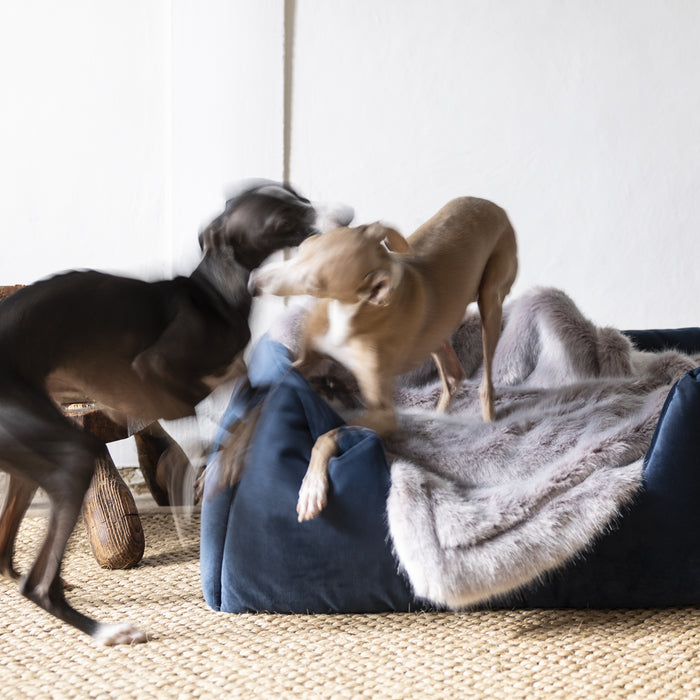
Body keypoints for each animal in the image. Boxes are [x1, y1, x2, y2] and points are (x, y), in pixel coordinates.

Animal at [0, 180, 318, 644]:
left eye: (297, 196)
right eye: (282, 218)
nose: (336, 215)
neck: (216, 294)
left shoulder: (227, 374)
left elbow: (246, 399)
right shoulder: (154, 374)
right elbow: (214, 426)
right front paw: (203, 471)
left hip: (26, 463)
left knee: (5, 555)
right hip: (70, 455)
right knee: (36, 584)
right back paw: (106, 631)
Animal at [249, 196, 516, 520]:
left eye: (316, 284)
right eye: (305, 246)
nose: (254, 282)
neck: (349, 311)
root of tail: (492, 206)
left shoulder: (383, 413)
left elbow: (329, 435)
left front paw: (311, 489)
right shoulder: (309, 360)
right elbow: (277, 381)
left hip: (491, 301)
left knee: (484, 384)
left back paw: (488, 422)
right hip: (436, 328)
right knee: (453, 375)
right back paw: (438, 416)